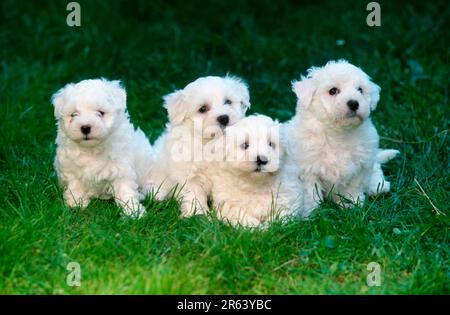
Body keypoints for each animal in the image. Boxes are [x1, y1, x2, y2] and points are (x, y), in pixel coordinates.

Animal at [52, 78, 153, 218]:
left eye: (100, 113)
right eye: (74, 114)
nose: (85, 127)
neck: (92, 149)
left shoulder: (121, 169)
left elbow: (125, 190)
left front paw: (133, 212)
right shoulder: (71, 168)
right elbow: (76, 186)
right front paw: (76, 204)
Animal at [150, 75, 250, 217]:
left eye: (228, 102)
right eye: (203, 109)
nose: (224, 118)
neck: (210, 142)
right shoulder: (190, 178)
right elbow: (194, 197)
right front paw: (198, 215)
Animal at [284, 59, 400, 212]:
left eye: (360, 90)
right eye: (333, 91)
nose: (354, 103)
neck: (337, 133)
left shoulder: (361, 164)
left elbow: (353, 186)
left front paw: (352, 203)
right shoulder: (307, 169)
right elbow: (311, 191)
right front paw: (312, 211)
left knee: (376, 168)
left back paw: (379, 187)